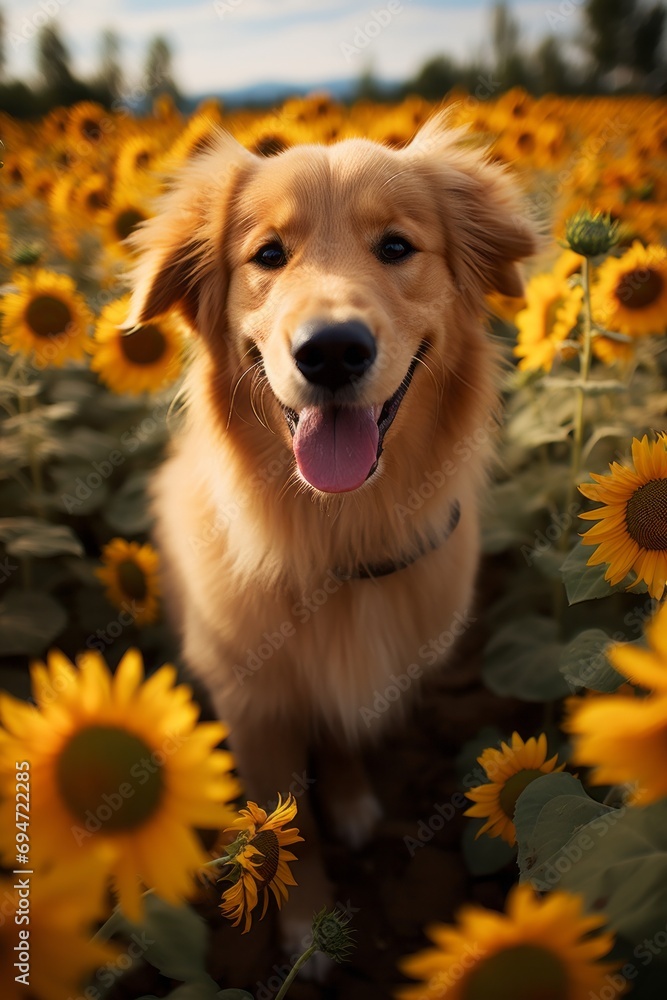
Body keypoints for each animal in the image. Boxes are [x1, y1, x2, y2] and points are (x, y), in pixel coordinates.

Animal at [128, 113, 540, 948]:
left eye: (395, 247)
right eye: (267, 255)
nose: (331, 350)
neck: (338, 533)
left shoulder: (361, 680)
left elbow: (343, 747)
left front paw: (350, 804)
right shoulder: (252, 710)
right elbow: (282, 830)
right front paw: (303, 924)